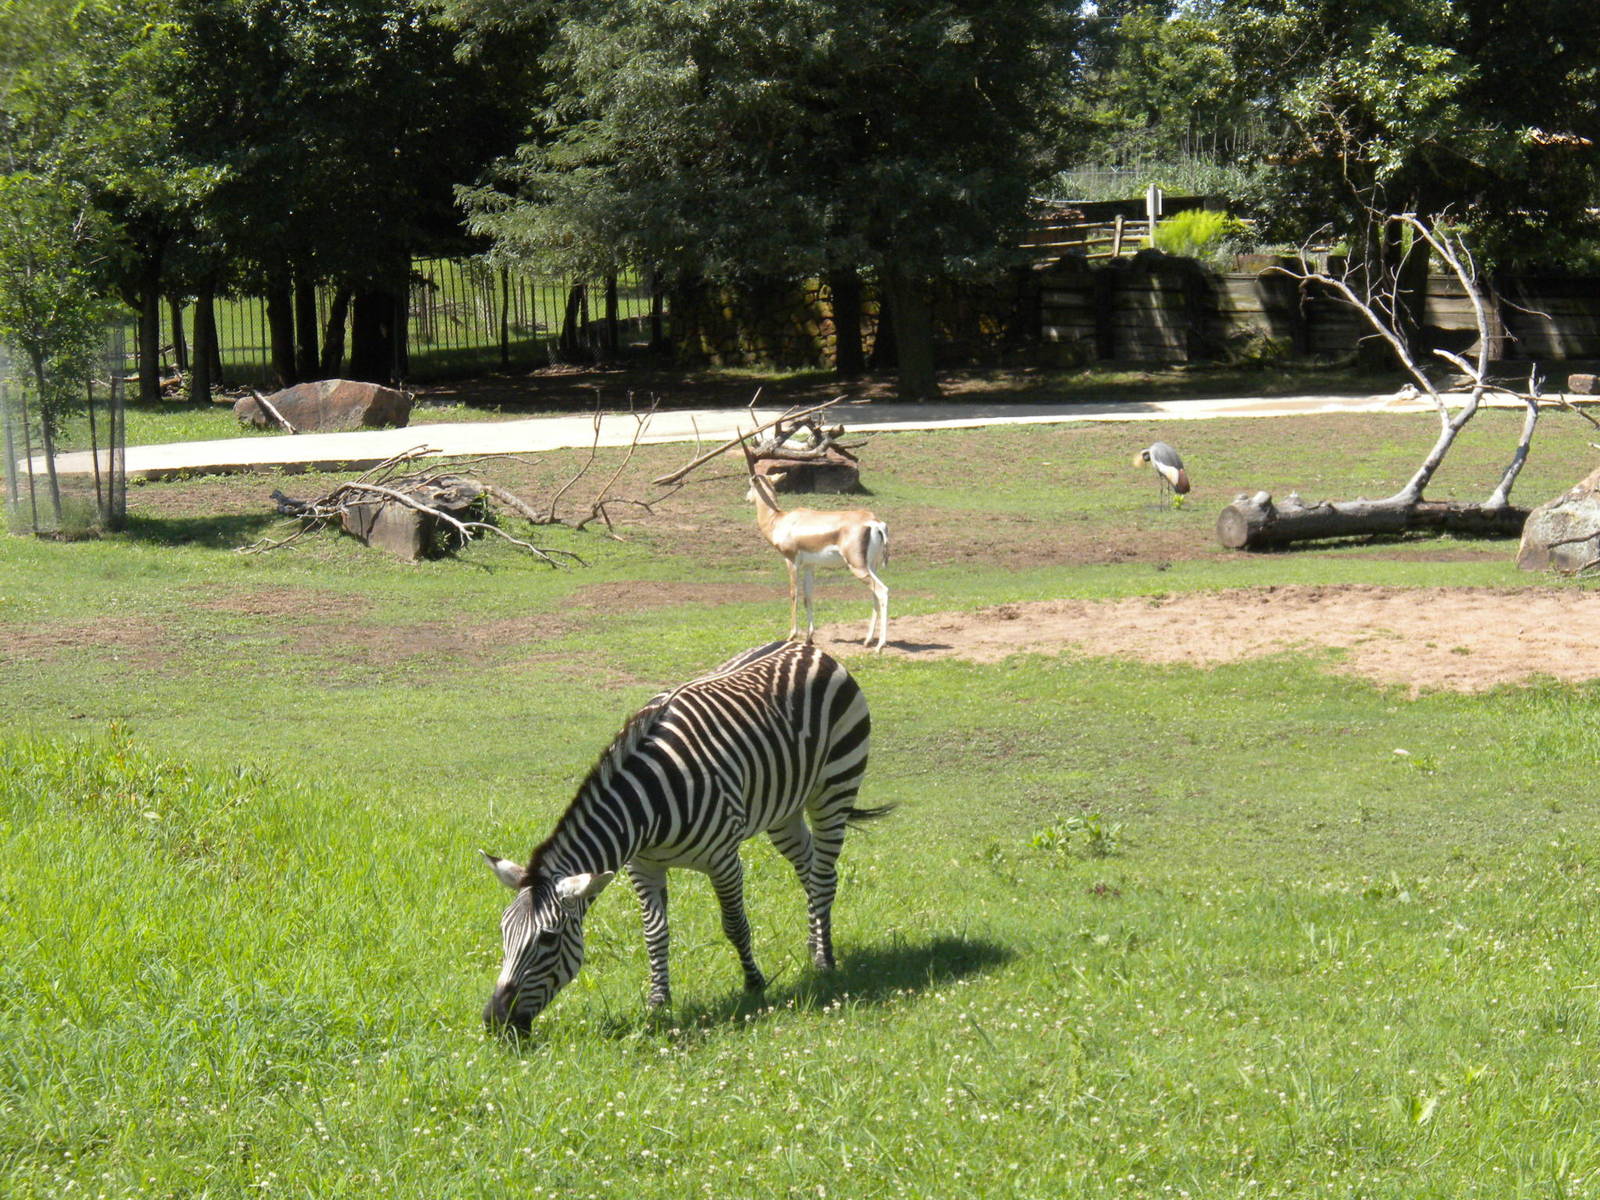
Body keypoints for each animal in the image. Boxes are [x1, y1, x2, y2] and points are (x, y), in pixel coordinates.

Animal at [480, 639, 881, 1033]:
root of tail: (808, 647)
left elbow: (735, 925)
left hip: (835, 786)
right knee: (810, 870)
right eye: (502, 930)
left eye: (547, 939)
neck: (648, 804)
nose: (494, 1020)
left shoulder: (724, 860)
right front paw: (658, 1001)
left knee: (824, 875)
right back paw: (815, 942)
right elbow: (654, 934)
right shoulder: (643, 867)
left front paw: (754, 984)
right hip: (784, 810)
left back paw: (824, 960)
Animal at [742, 440, 889, 651]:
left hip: (858, 567)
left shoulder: (791, 561)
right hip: (872, 566)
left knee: (882, 591)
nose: (747, 497)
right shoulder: (809, 566)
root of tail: (874, 523)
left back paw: (880, 645)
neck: (779, 520)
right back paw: (868, 640)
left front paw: (792, 635)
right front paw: (809, 638)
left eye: (750, 483)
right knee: (875, 594)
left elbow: (794, 594)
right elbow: (808, 596)